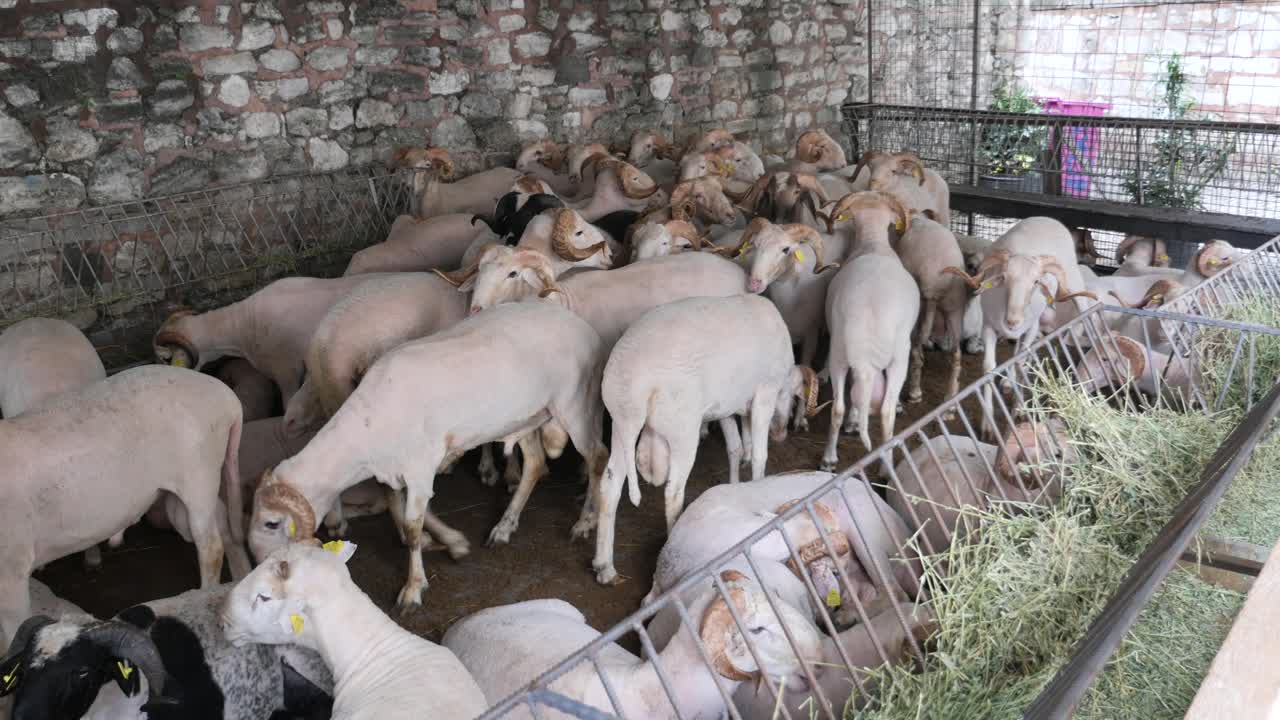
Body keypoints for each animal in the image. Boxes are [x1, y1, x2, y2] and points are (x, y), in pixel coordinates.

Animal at [0, 366, 243, 649]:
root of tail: (227, 397)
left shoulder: (11, 567)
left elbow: (13, 631)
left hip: (198, 473)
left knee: (211, 547)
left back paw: (204, 594)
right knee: (226, 526)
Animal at [248, 302, 609, 607]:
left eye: (271, 523)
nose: (258, 563)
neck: (366, 426)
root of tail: (581, 325)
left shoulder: (420, 467)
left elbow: (410, 526)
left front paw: (413, 588)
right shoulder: (395, 472)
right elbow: (398, 509)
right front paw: (451, 542)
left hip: (576, 402)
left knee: (598, 459)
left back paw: (585, 523)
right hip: (529, 415)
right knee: (535, 464)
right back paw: (504, 527)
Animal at [591, 295, 822, 584]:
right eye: (792, 397)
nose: (780, 434)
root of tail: (633, 385)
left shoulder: (724, 409)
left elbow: (735, 449)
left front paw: (736, 486)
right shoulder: (764, 397)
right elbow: (759, 456)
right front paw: (756, 484)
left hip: (621, 426)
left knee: (610, 484)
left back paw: (604, 566)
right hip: (682, 430)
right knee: (673, 492)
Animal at [821, 192, 921, 464]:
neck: (872, 243)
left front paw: (853, 422)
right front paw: (855, 422)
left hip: (839, 353)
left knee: (837, 407)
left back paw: (829, 458)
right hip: (898, 358)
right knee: (886, 412)